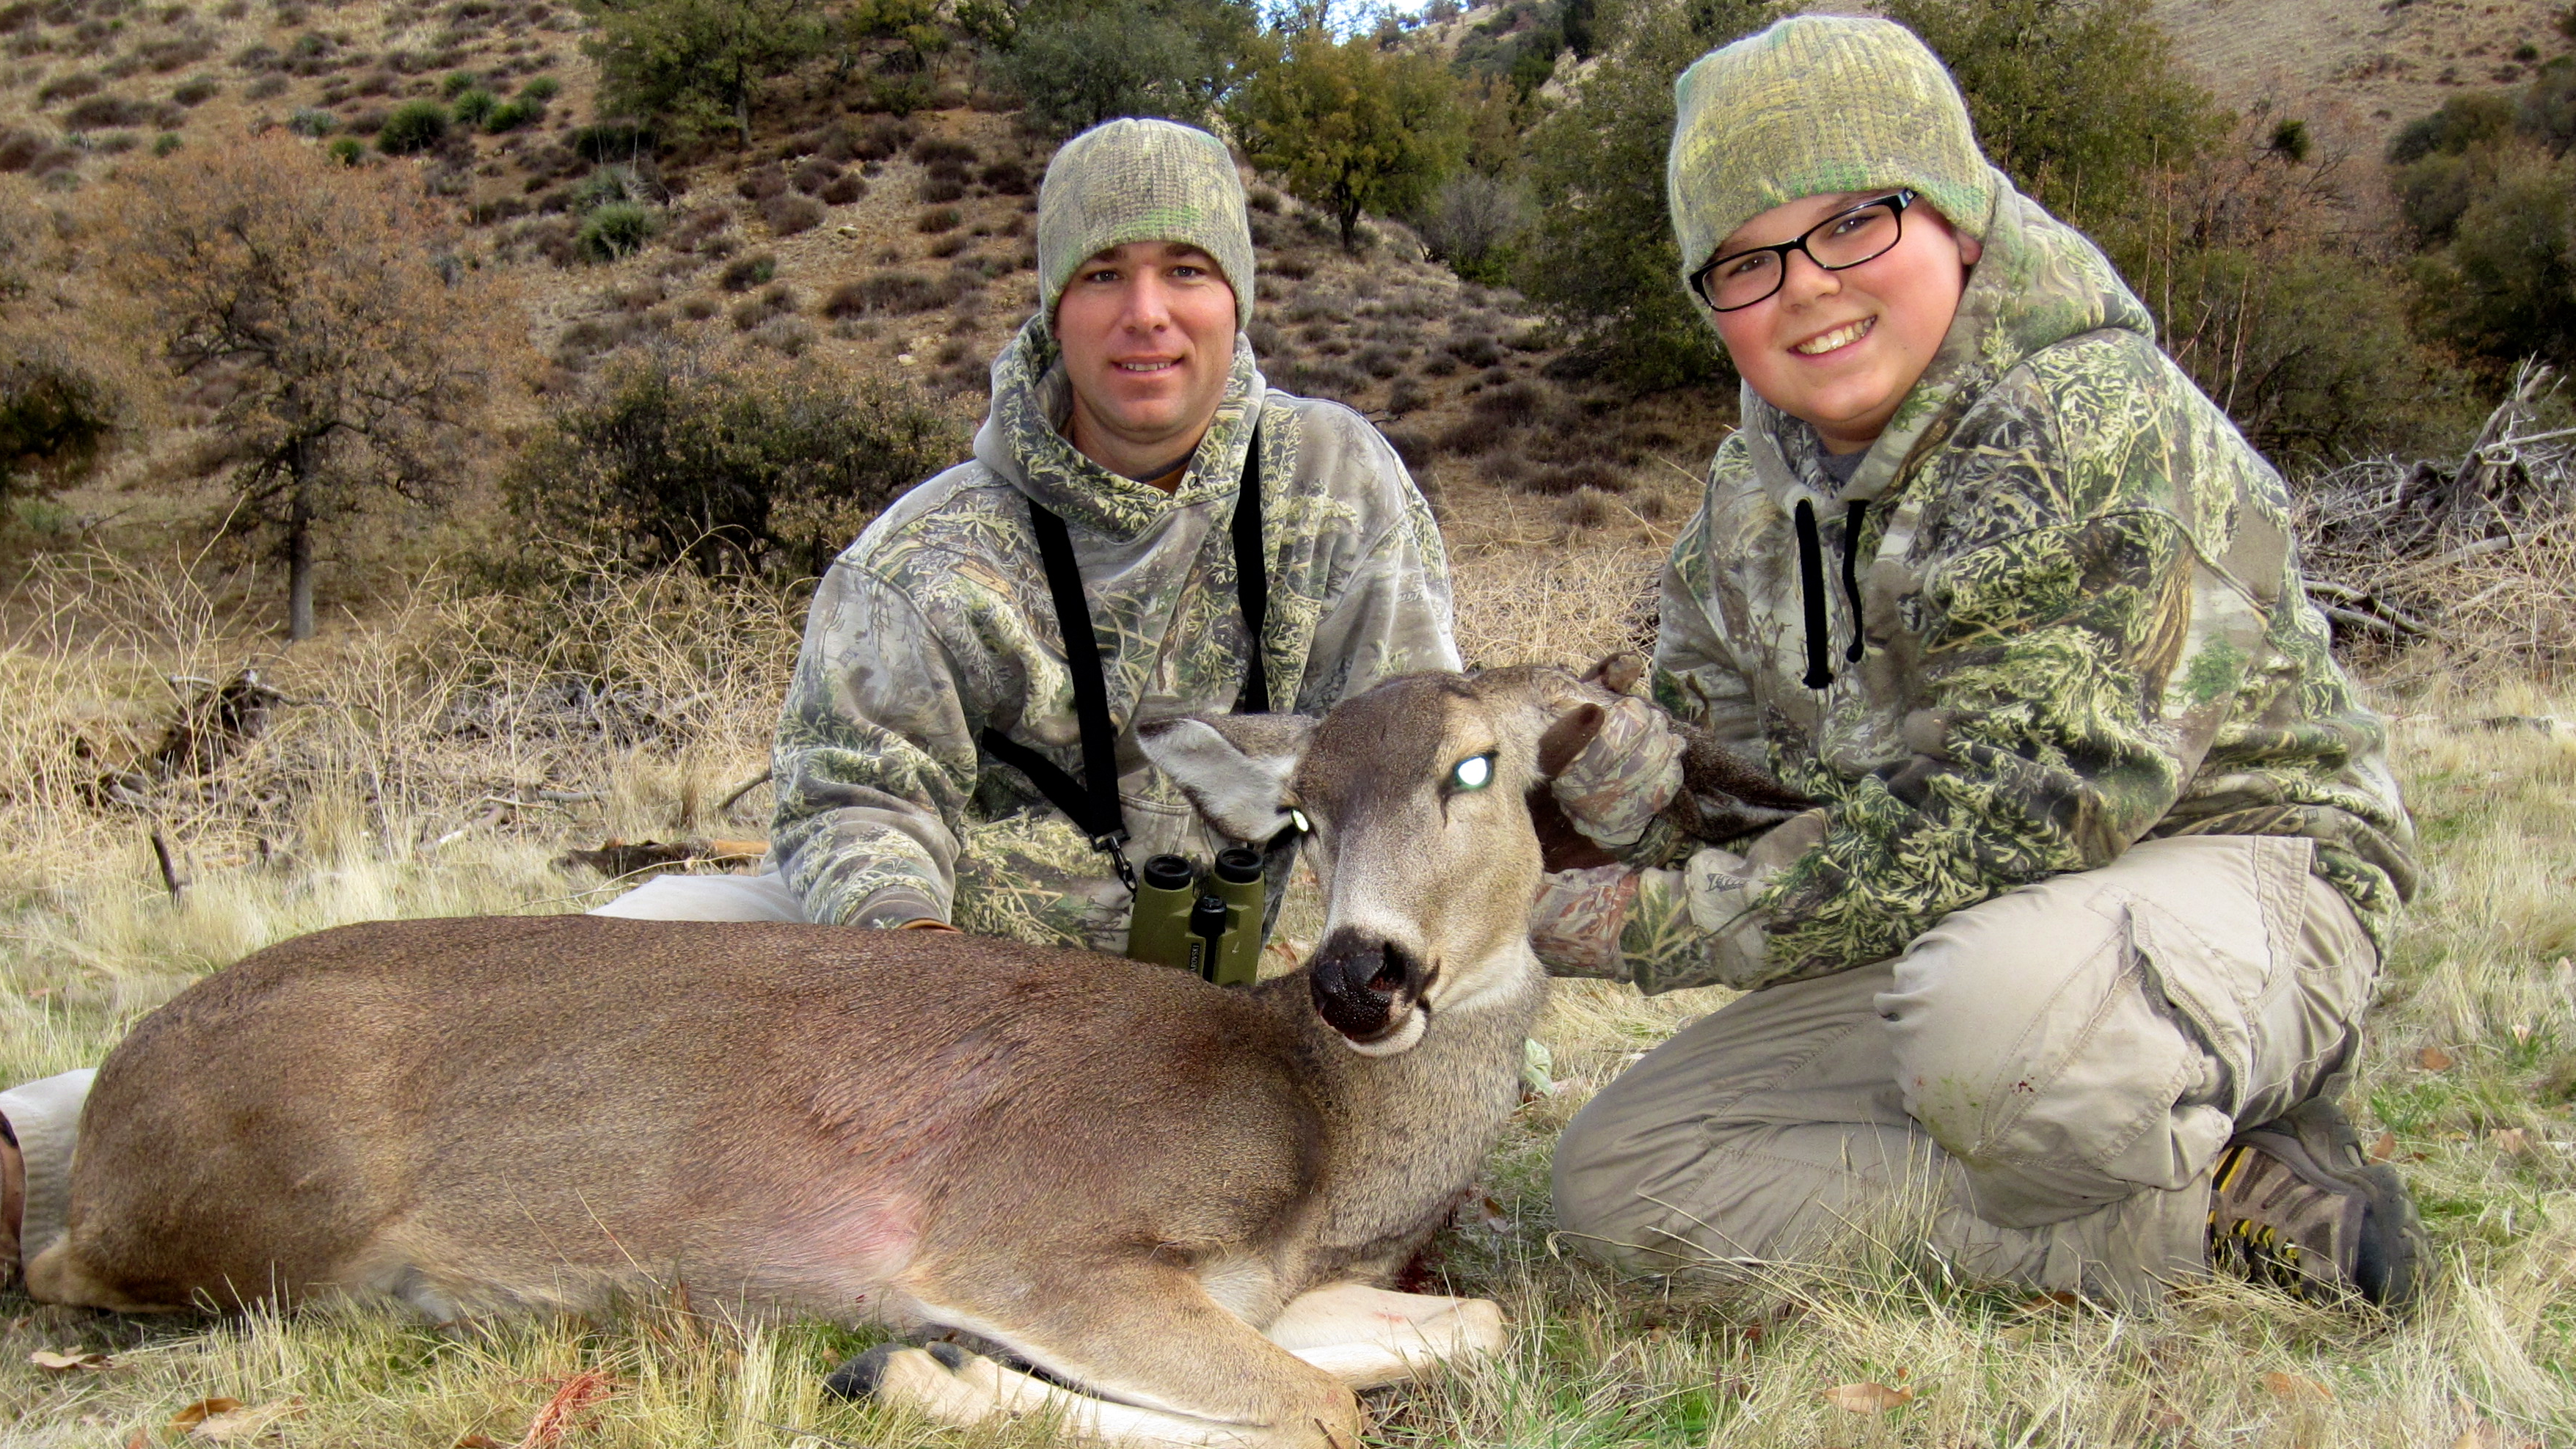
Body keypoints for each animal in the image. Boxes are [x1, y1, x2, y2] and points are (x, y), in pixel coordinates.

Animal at [23, 665, 1804, 1449]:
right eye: (1306, 807)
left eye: (1476, 770)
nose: (1365, 974)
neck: (1316, 1136)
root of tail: (114, 1101)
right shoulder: (1032, 1230)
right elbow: (1314, 1416)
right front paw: (918, 1368)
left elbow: (1457, 1331)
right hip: (263, 1201)